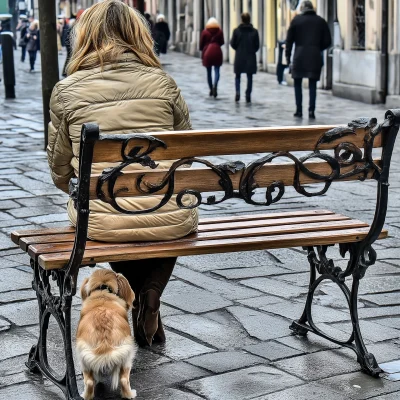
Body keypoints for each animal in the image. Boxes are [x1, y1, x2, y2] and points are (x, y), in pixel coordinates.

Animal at [76, 268, 138, 400]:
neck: (103, 291)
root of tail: (104, 343)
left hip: (84, 358)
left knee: (89, 382)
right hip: (126, 356)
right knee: (124, 380)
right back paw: (130, 394)